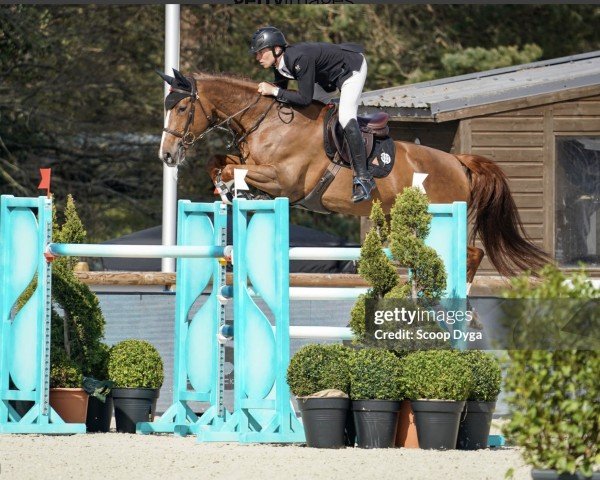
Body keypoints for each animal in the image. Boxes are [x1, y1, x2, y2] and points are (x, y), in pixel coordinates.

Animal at [157, 71, 552, 282]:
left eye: (182, 107)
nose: (167, 155)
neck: (266, 121)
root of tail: (458, 161)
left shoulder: (284, 179)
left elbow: (230, 168)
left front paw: (230, 189)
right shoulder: (252, 162)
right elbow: (219, 162)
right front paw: (227, 190)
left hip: (435, 218)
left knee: (471, 253)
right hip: (400, 222)